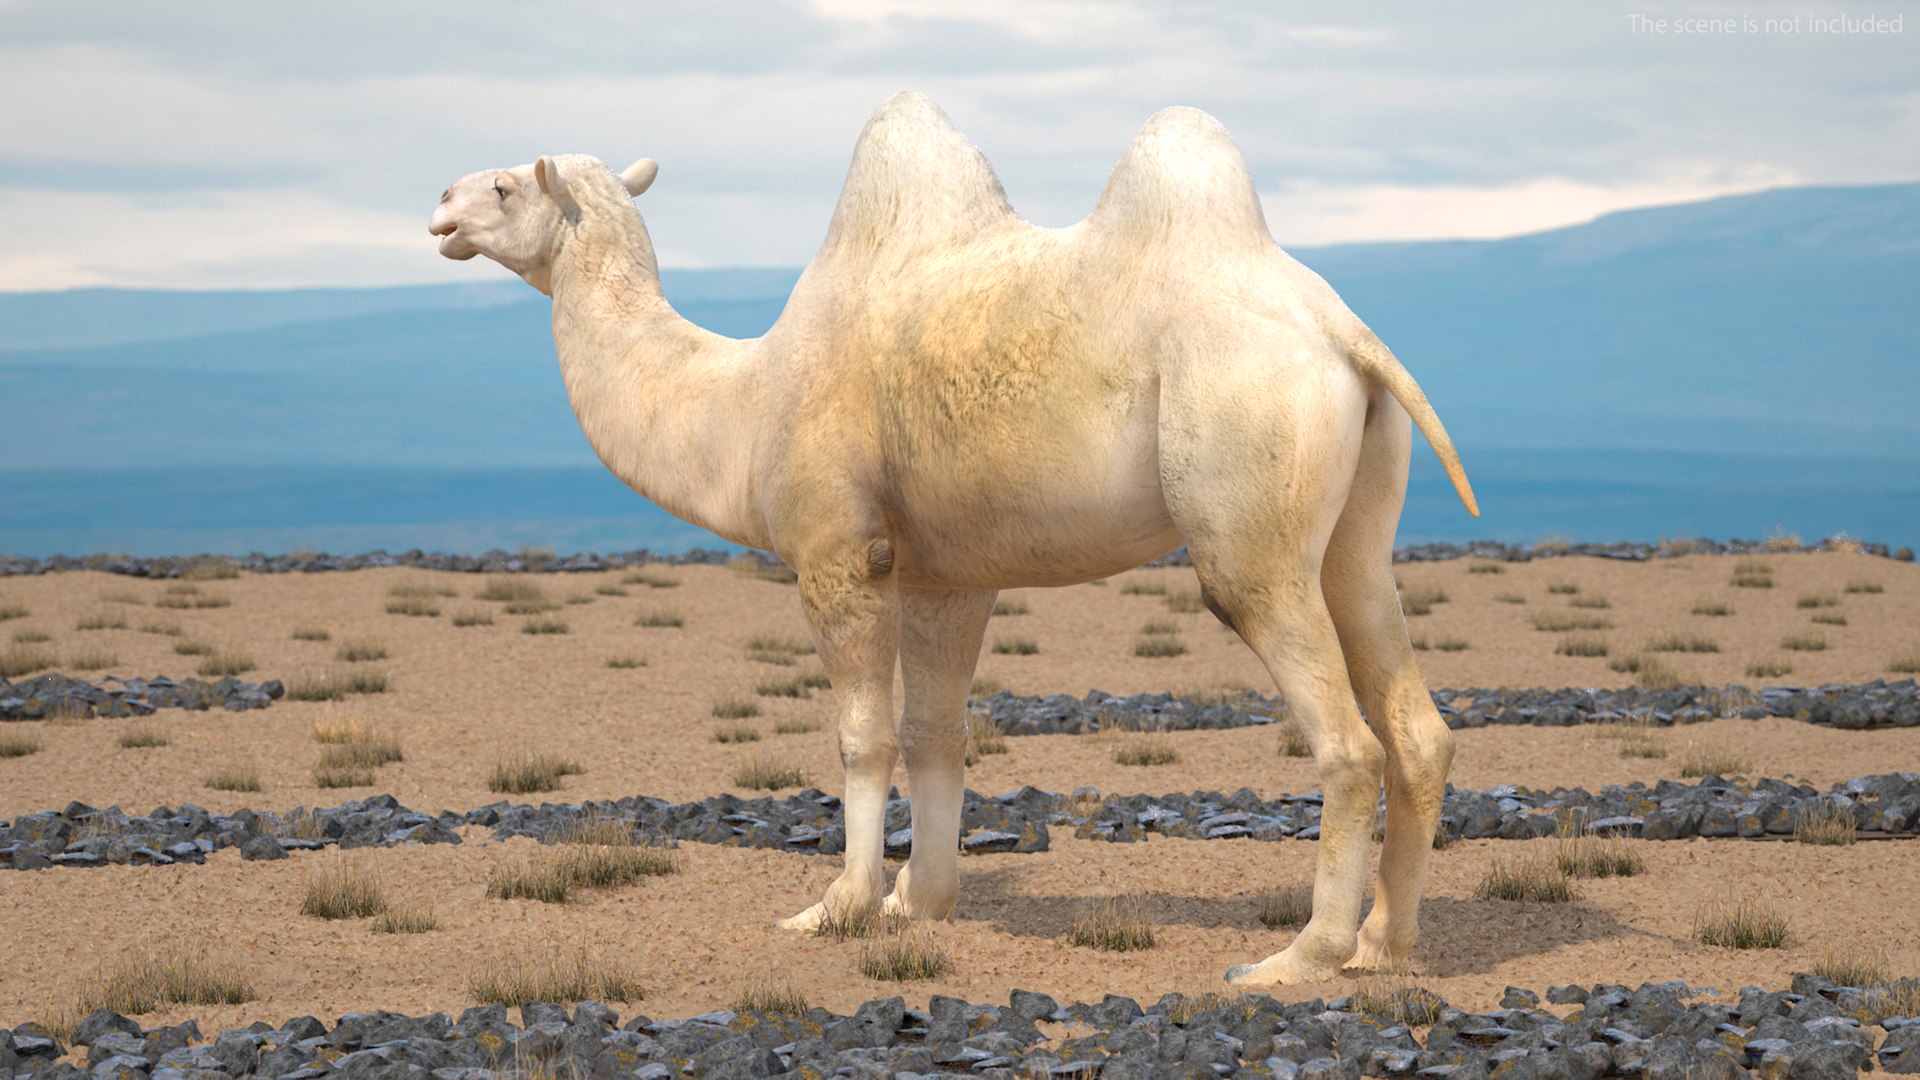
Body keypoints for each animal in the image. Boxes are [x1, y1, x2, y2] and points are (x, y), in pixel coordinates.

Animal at [428, 92, 1478, 986]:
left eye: (506, 185)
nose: (438, 204)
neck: (743, 402)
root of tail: (1345, 335)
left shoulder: (838, 553)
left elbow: (862, 735)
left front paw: (839, 905)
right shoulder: (947, 576)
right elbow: (937, 731)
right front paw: (916, 901)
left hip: (1245, 509)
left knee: (1343, 735)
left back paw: (1300, 958)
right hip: (1353, 529)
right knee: (1411, 713)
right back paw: (1385, 944)